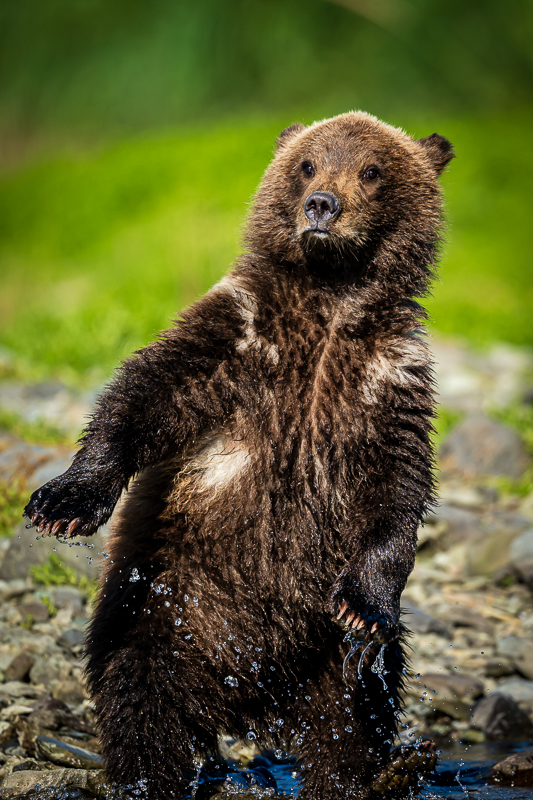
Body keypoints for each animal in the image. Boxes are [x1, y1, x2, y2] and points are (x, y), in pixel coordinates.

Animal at [26, 114, 454, 800]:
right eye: (306, 164)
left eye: (371, 170)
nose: (321, 205)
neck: (329, 300)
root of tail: (249, 696)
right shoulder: (240, 336)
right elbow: (146, 393)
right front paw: (67, 498)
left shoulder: (388, 382)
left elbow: (398, 490)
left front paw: (365, 608)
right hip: (165, 609)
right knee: (143, 701)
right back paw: (154, 776)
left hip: (318, 652)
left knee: (356, 710)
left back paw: (378, 771)